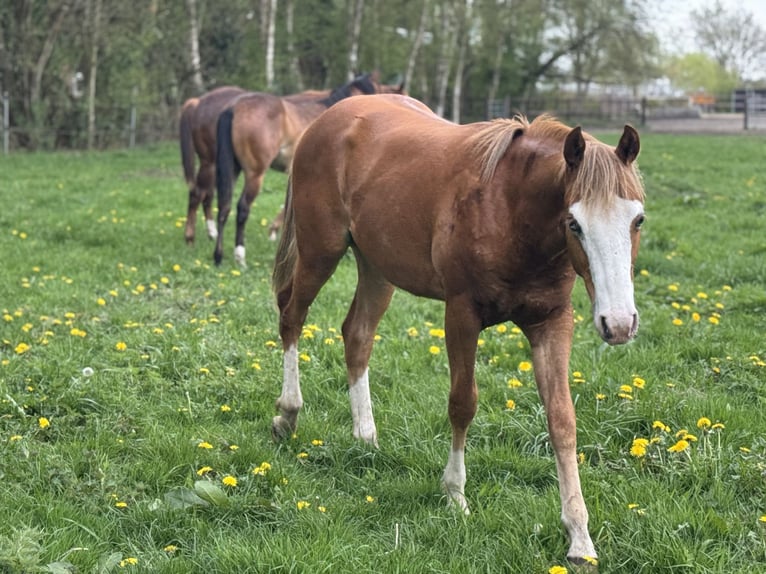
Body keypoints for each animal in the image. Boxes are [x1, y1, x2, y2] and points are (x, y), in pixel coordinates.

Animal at [179, 86, 247, 245]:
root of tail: (197, 103)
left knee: (207, 195)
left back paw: (212, 233)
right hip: (211, 164)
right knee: (198, 194)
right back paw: (190, 238)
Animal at [214, 72, 406, 267]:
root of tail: (234, 108)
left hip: (233, 169)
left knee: (224, 206)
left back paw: (218, 256)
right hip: (255, 173)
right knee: (242, 208)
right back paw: (240, 256)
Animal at [271, 94, 645, 566]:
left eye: (638, 220)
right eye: (574, 222)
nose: (619, 324)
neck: (511, 210)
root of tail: (330, 117)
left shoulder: (552, 322)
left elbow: (562, 420)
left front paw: (579, 536)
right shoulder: (462, 314)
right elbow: (463, 404)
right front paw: (455, 495)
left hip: (377, 268)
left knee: (357, 335)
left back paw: (366, 436)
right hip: (321, 250)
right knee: (291, 316)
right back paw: (287, 414)